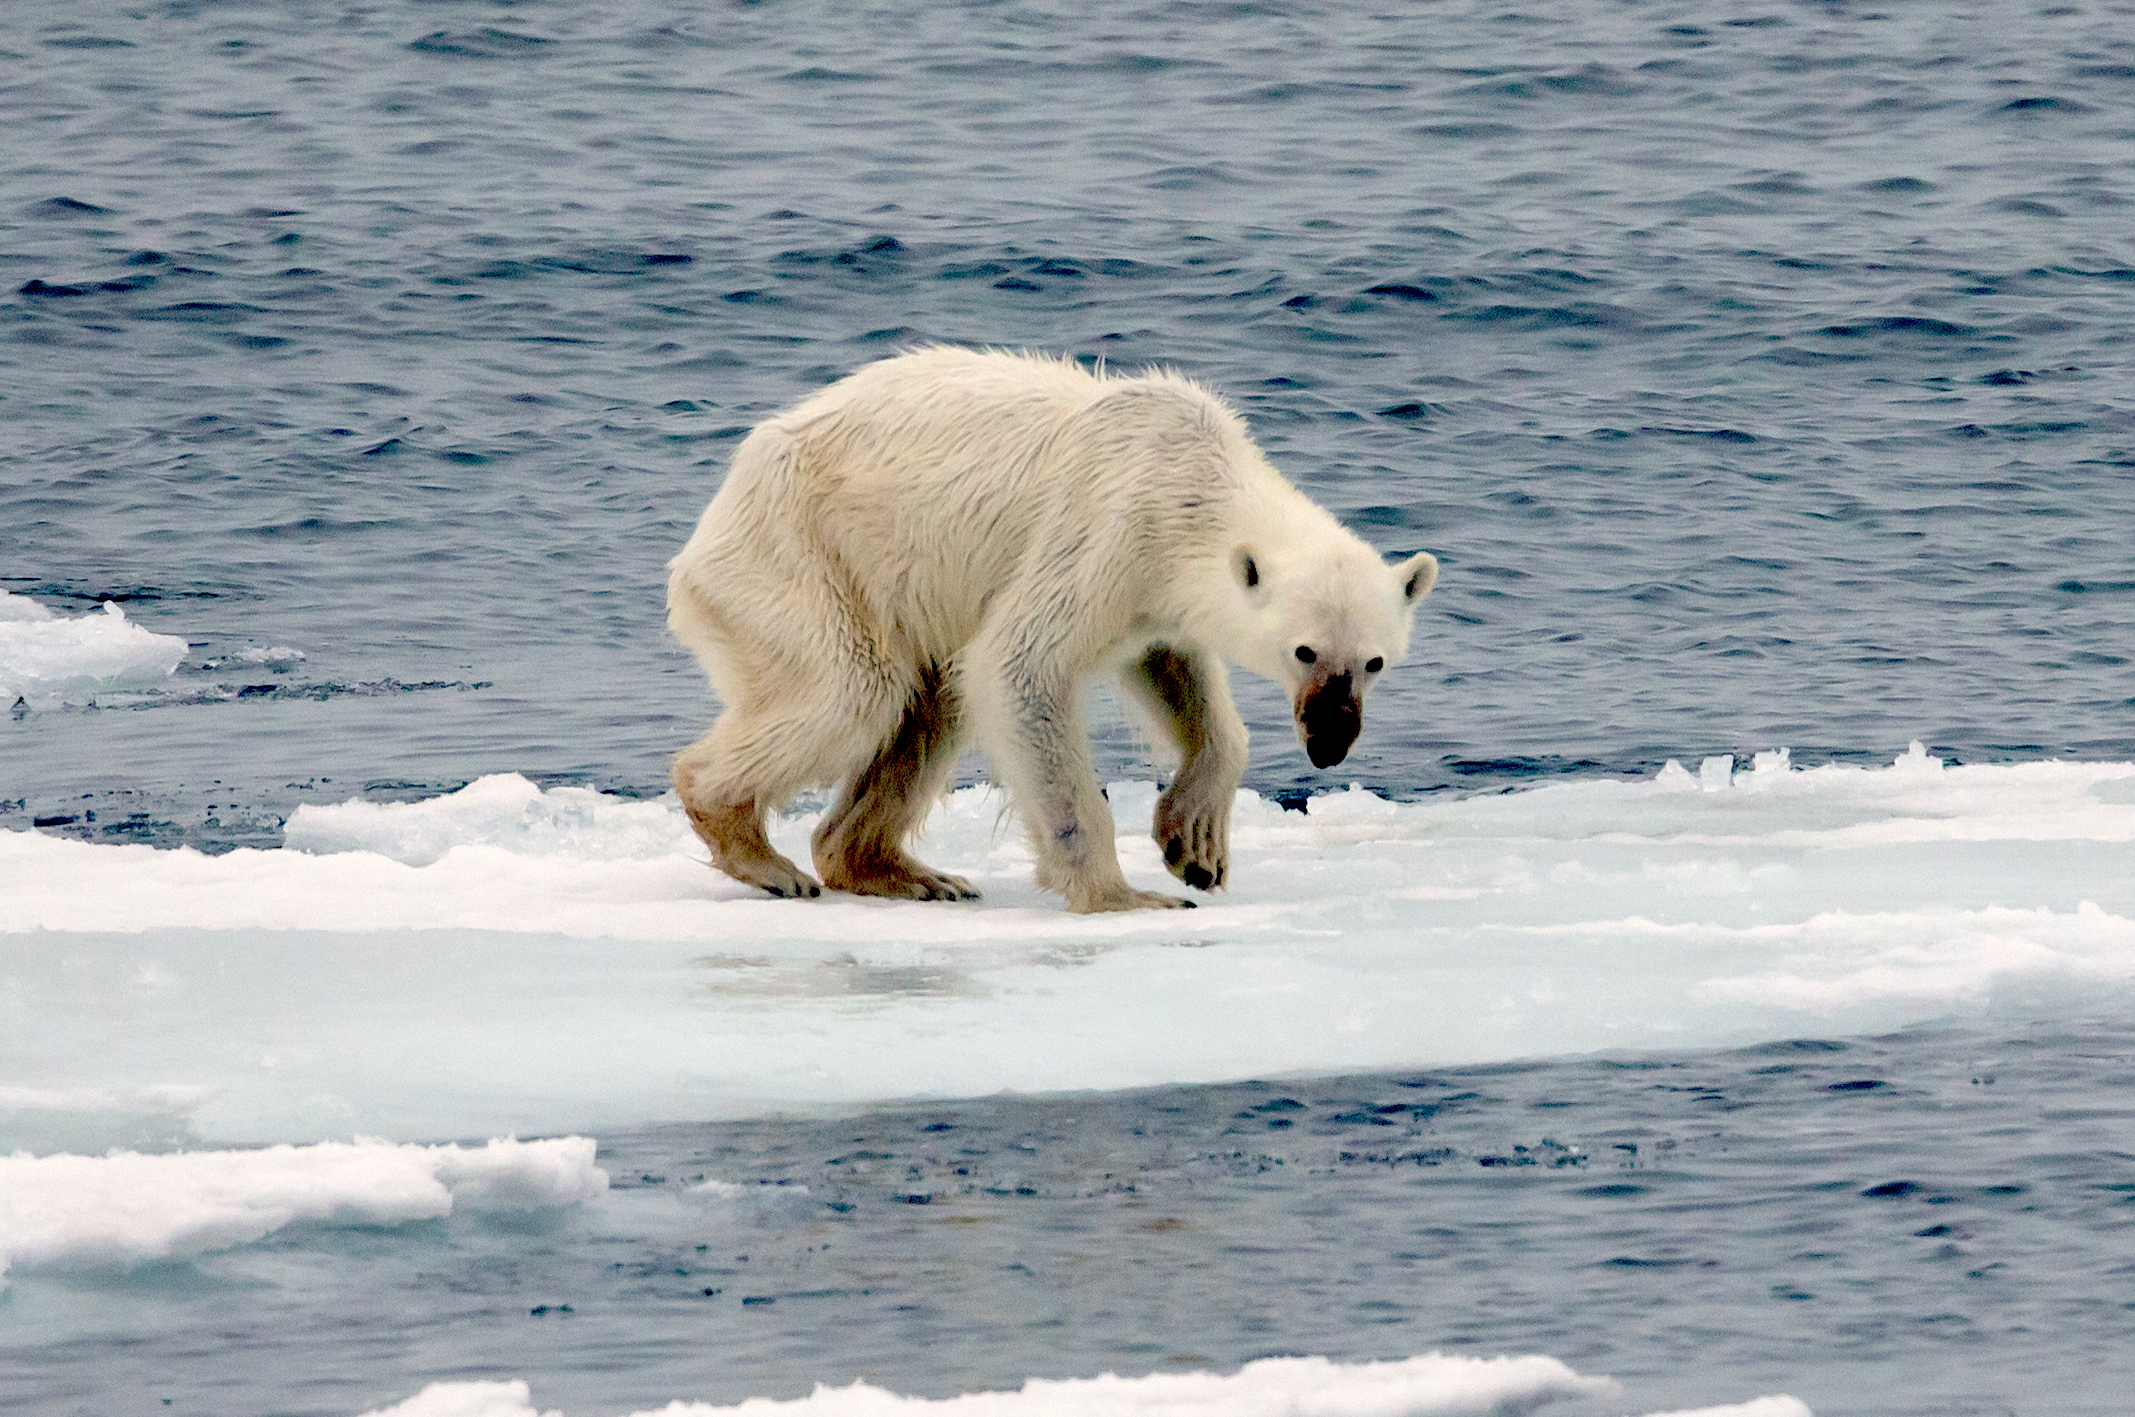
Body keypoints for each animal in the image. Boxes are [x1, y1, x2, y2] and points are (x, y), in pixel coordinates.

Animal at [666, 347, 1434, 913]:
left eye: (1374, 662)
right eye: (1303, 650)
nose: (1330, 741)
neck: (1191, 481)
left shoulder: (1152, 593)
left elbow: (1176, 674)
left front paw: (1195, 845)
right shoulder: (1105, 529)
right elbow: (1019, 666)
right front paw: (1125, 895)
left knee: (928, 705)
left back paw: (906, 872)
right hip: (802, 558)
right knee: (854, 691)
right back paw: (761, 852)